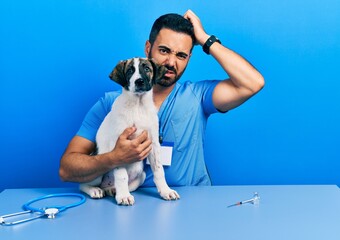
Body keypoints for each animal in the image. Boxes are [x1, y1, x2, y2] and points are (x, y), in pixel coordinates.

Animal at [80, 57, 181, 205]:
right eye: (129, 71)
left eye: (147, 69)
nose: (139, 81)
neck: (138, 106)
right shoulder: (118, 147)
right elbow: (121, 175)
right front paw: (123, 196)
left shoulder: (154, 144)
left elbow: (159, 170)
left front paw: (165, 191)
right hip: (97, 167)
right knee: (82, 184)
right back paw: (95, 190)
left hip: (141, 175)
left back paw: (112, 190)